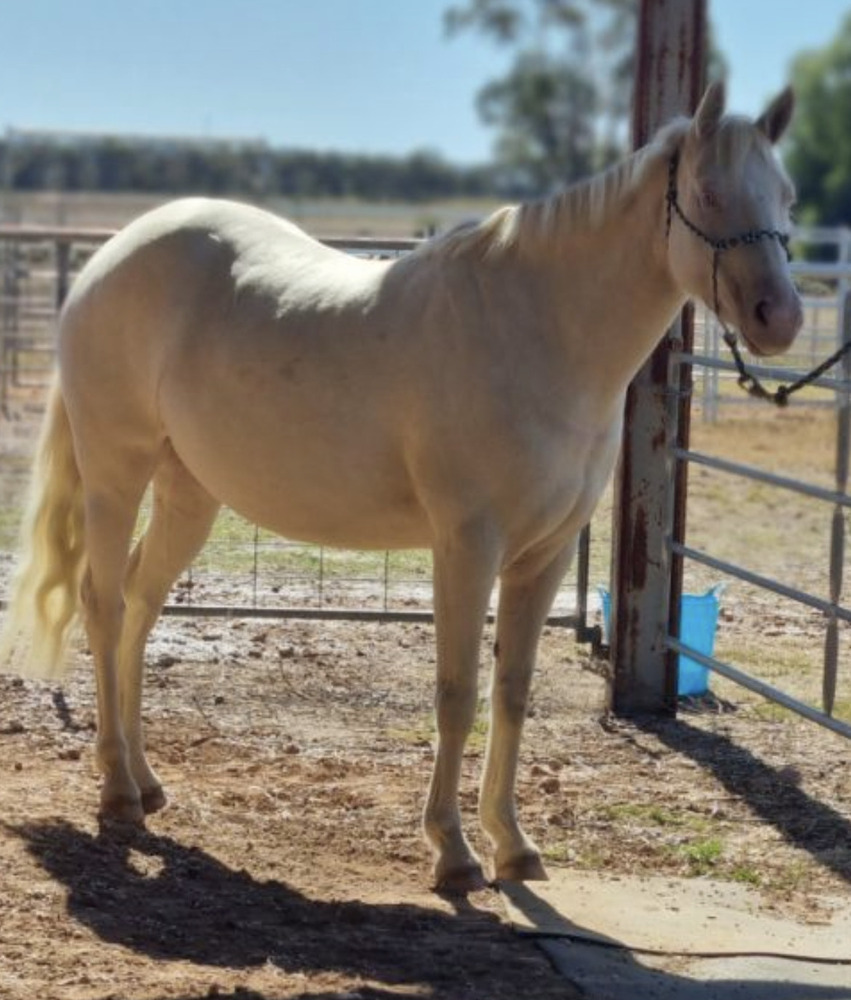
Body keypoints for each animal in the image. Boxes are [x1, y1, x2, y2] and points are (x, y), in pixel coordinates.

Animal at [0, 82, 802, 891]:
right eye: (708, 192)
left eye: (787, 197)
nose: (782, 317)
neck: (537, 330)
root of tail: (109, 256)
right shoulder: (467, 546)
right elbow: (457, 694)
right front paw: (453, 851)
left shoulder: (542, 556)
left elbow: (512, 691)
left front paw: (511, 842)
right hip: (115, 471)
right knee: (102, 607)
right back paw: (116, 789)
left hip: (189, 491)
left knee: (139, 603)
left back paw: (146, 779)